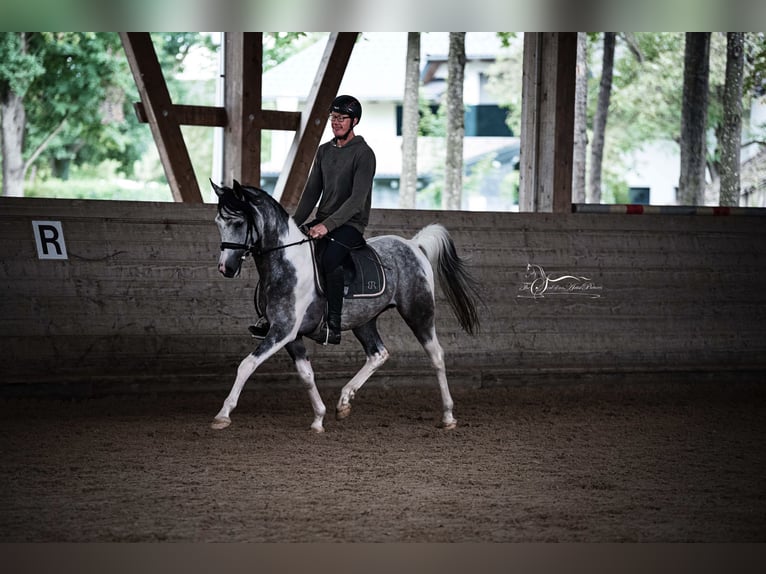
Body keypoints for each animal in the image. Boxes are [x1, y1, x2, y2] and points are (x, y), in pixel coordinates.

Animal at [211, 180, 482, 432]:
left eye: (237, 223)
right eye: (218, 223)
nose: (226, 269)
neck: (286, 263)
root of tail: (413, 245)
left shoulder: (282, 331)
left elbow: (247, 365)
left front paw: (223, 415)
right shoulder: (291, 336)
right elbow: (306, 375)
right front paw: (318, 419)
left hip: (419, 313)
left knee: (436, 356)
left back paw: (448, 416)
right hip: (364, 321)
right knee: (378, 354)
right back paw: (344, 401)